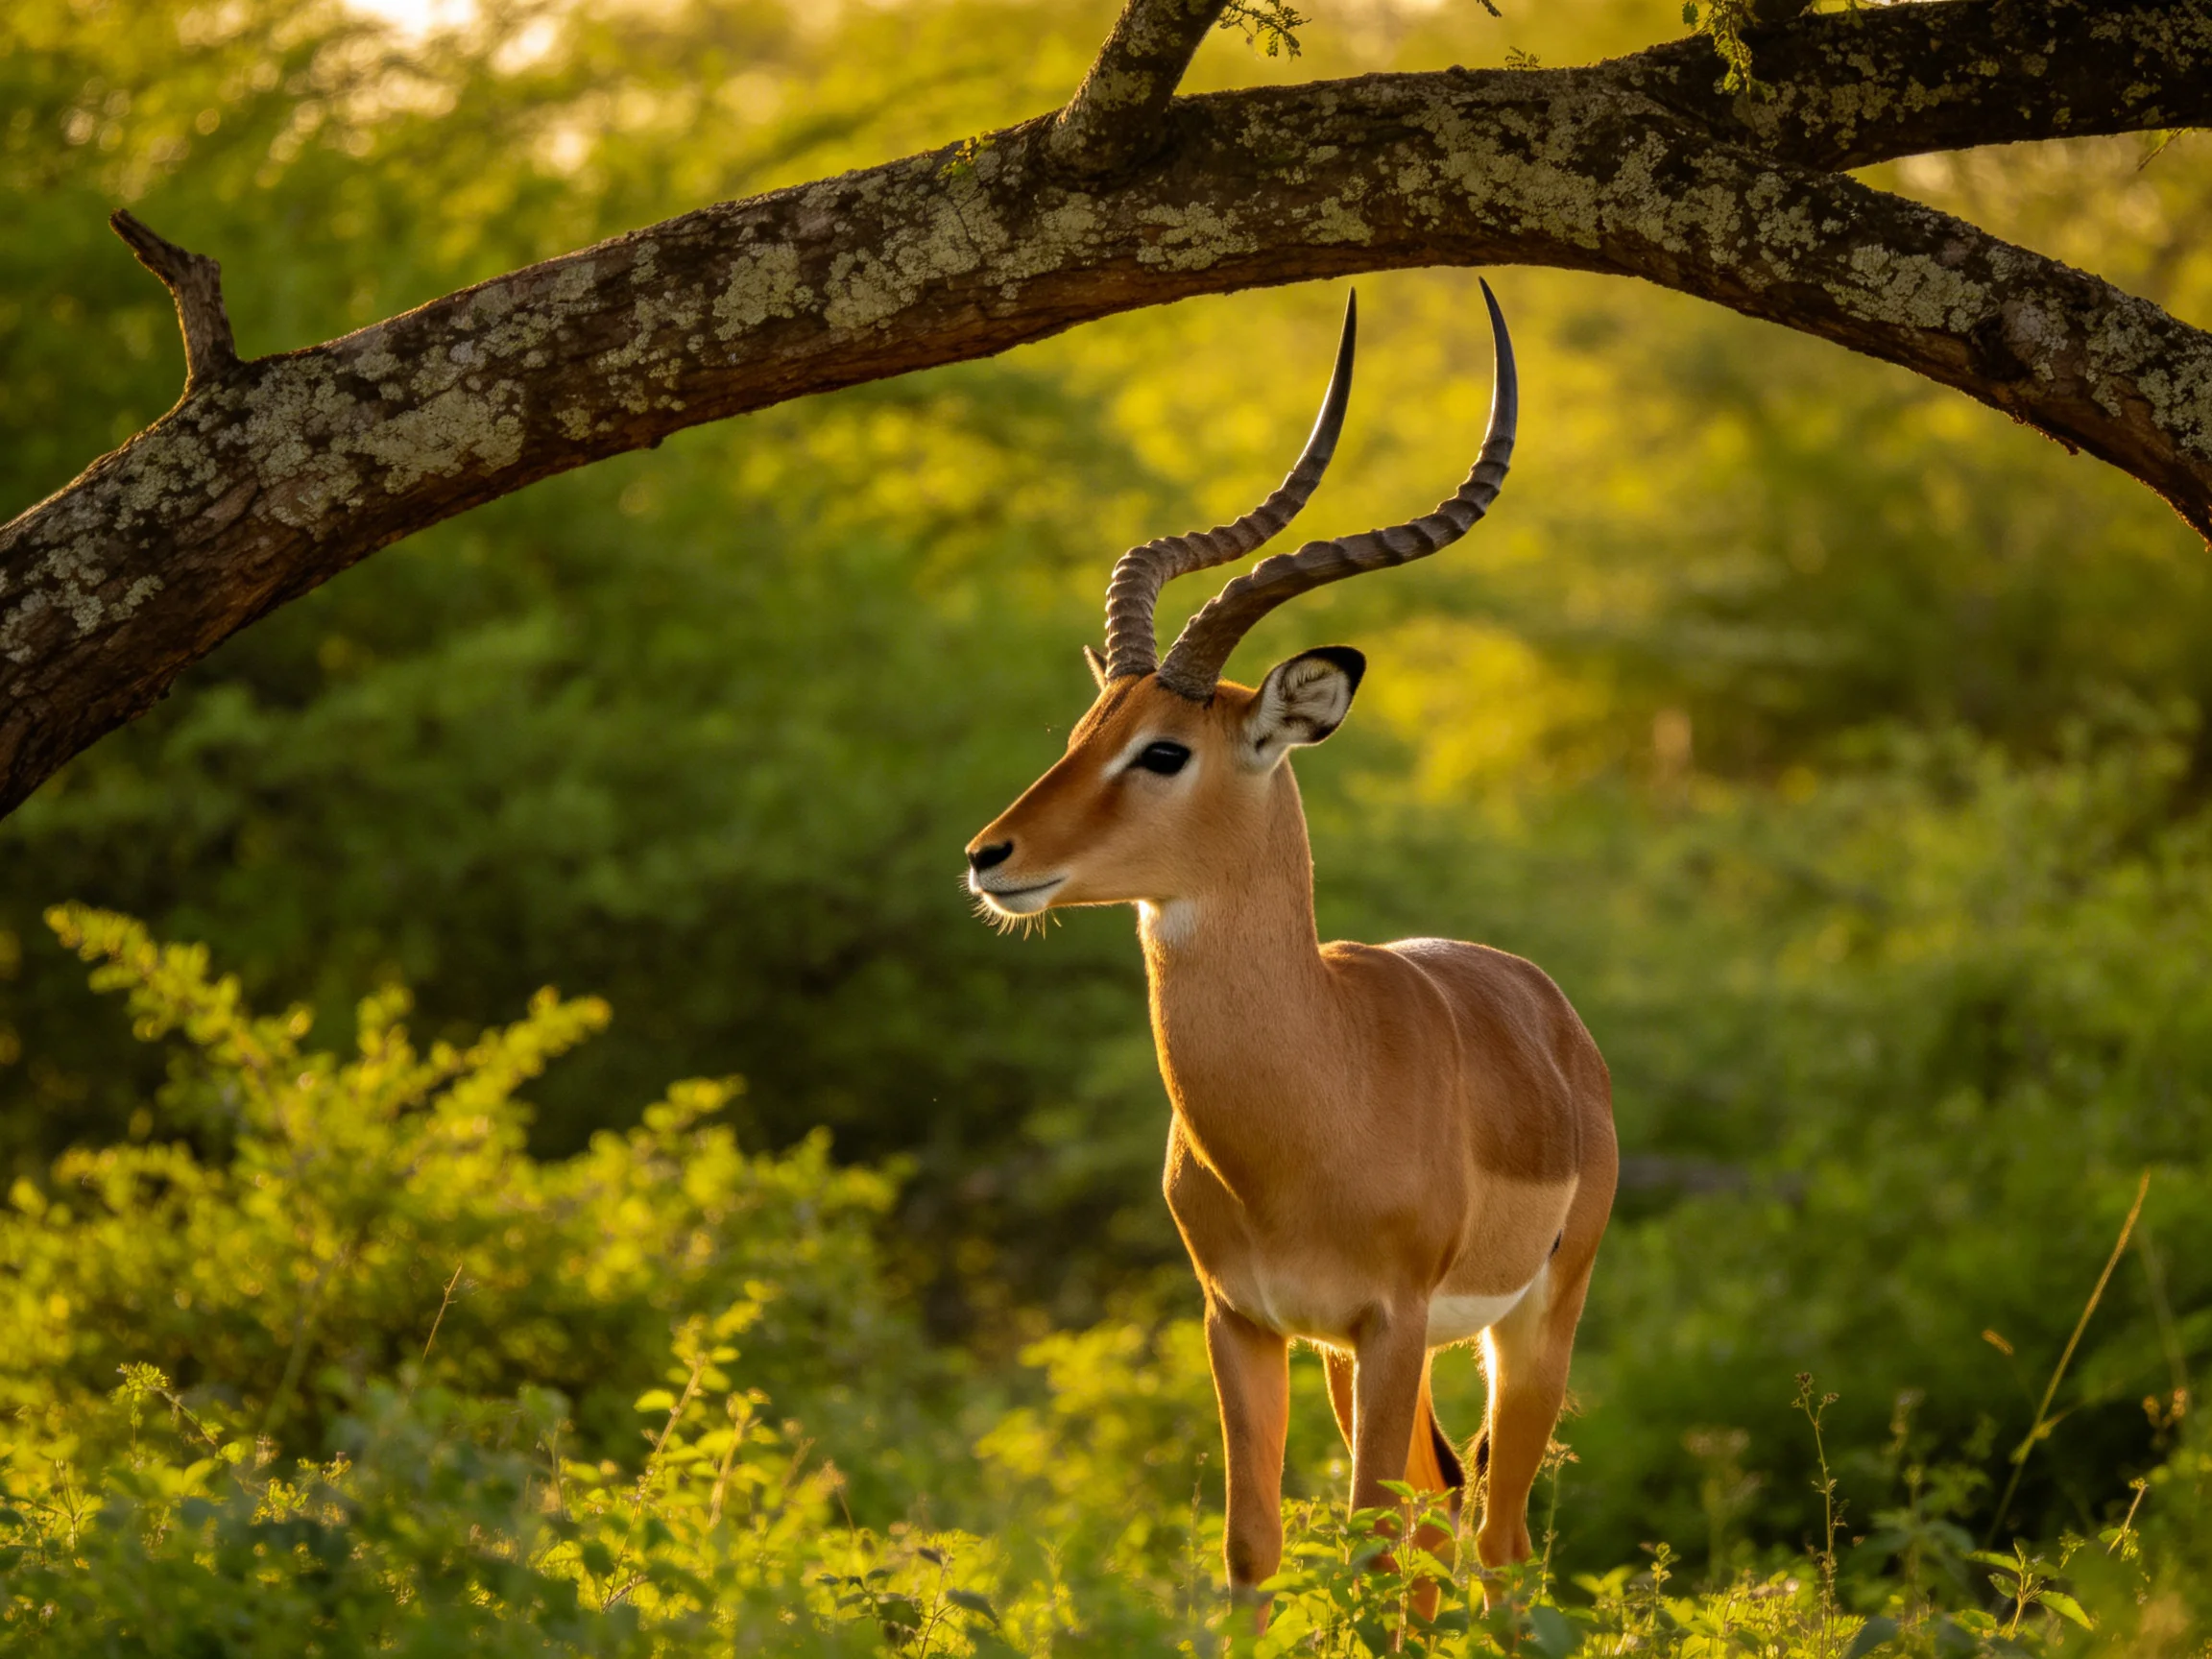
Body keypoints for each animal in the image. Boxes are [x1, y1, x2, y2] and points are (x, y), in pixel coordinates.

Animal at [964, 285, 1616, 1608]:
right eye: (1085, 726)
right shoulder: (1247, 1320)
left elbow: (1367, 1545)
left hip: (1532, 1323)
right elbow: (1255, 1547)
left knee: (1498, 1537)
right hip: (1360, 1358)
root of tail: (1550, 1010)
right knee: (1437, 1519)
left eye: (1165, 750)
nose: (990, 857)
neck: (1314, 1093)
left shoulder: (1392, 1318)